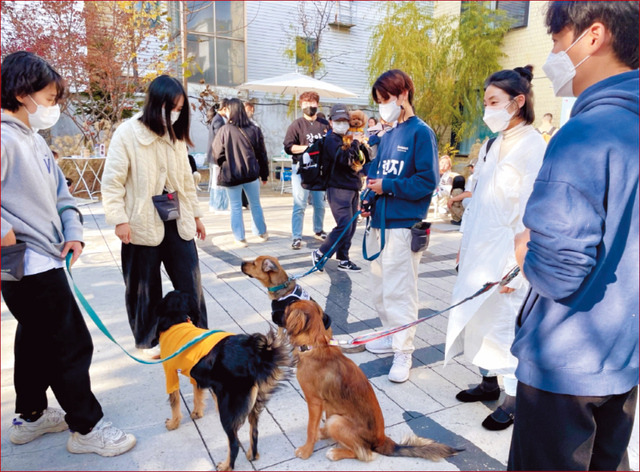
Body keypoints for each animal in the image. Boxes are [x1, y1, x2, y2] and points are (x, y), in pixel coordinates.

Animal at [158, 290, 292, 470]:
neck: (177, 318)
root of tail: (254, 354)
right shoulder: (195, 374)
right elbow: (197, 394)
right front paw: (197, 413)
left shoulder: (170, 373)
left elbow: (174, 402)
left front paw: (173, 423)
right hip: (254, 401)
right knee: (254, 429)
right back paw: (252, 454)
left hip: (227, 408)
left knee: (233, 442)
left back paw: (227, 465)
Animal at [284, 300, 460, 462]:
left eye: (286, 309)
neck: (313, 345)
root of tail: (382, 440)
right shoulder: (325, 402)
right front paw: (318, 437)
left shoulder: (314, 401)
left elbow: (310, 428)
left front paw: (306, 451)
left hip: (337, 422)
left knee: (364, 453)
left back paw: (336, 452)